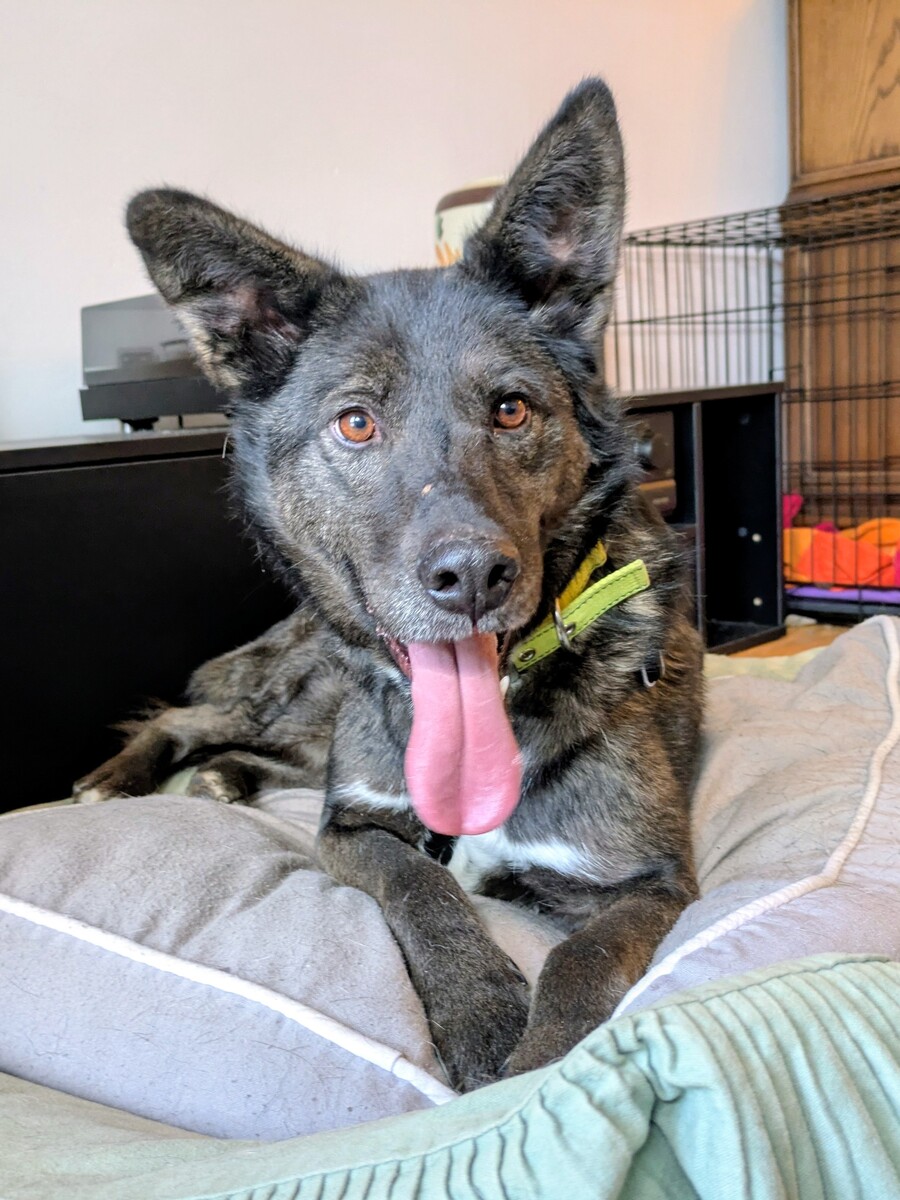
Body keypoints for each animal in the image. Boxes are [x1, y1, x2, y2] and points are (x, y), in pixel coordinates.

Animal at [75, 79, 703, 1091]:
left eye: (512, 409)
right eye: (357, 423)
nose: (473, 577)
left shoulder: (648, 883)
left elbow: (578, 964)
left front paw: (538, 1076)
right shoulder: (352, 831)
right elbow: (421, 884)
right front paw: (482, 1008)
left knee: (243, 745)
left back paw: (222, 779)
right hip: (314, 700)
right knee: (190, 715)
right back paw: (119, 781)